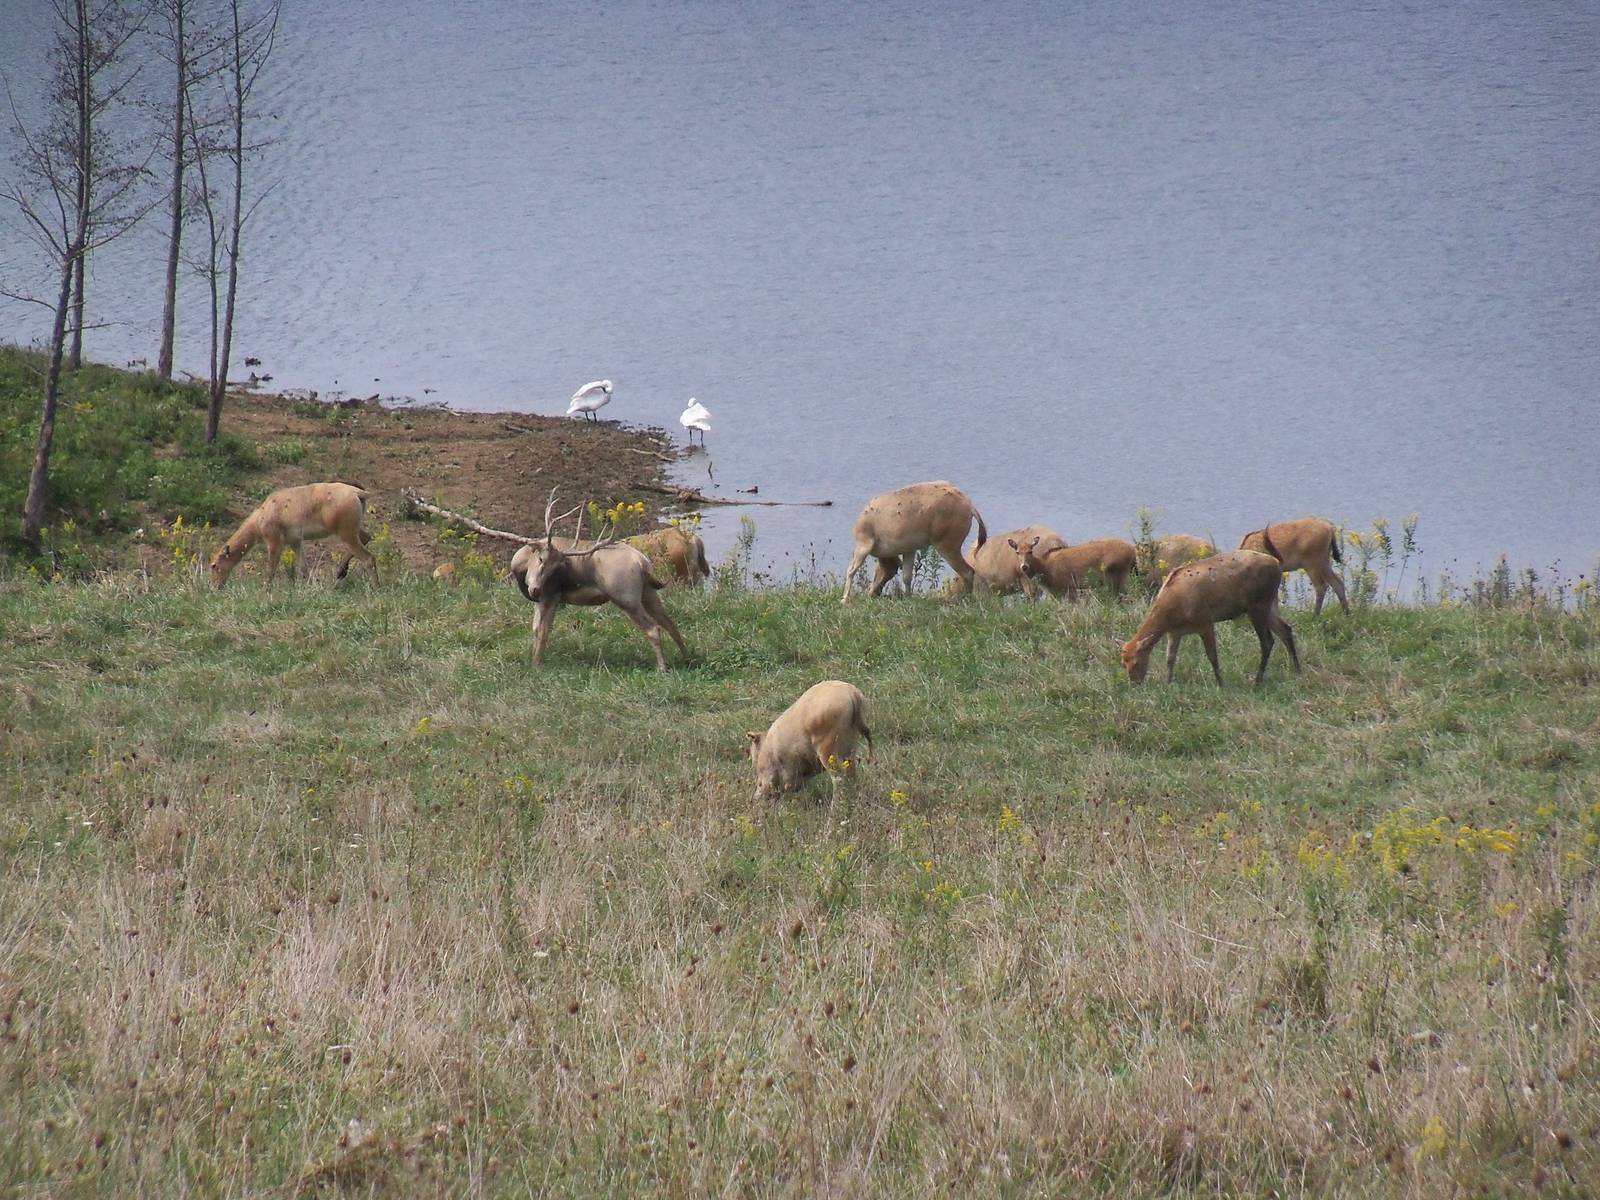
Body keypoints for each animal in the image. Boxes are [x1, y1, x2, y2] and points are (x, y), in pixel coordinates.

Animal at [208, 482, 376, 589]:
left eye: (214, 565)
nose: (214, 588)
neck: (259, 520)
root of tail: (359, 493)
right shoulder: (295, 542)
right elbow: (303, 567)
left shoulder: (274, 541)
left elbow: (271, 569)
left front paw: (265, 591)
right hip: (352, 529)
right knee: (367, 537)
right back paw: (341, 572)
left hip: (345, 532)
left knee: (368, 557)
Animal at [508, 492, 688, 671]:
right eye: (540, 559)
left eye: (554, 568)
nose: (535, 589)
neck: (520, 567)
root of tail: (642, 562)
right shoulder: (542, 599)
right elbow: (535, 628)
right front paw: (533, 661)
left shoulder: (551, 595)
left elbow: (542, 630)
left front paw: (536, 665)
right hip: (648, 593)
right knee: (669, 622)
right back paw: (687, 657)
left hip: (625, 596)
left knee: (653, 628)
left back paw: (662, 668)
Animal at [1121, 528, 1299, 688]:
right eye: (1123, 662)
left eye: (1136, 662)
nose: (1134, 685)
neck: (1173, 614)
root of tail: (1277, 563)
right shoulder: (1175, 632)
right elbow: (1170, 658)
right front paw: (1167, 683)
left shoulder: (1205, 621)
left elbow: (1212, 655)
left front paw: (1221, 684)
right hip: (1270, 602)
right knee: (1285, 629)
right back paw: (1297, 670)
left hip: (1257, 604)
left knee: (1268, 641)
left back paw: (1257, 681)